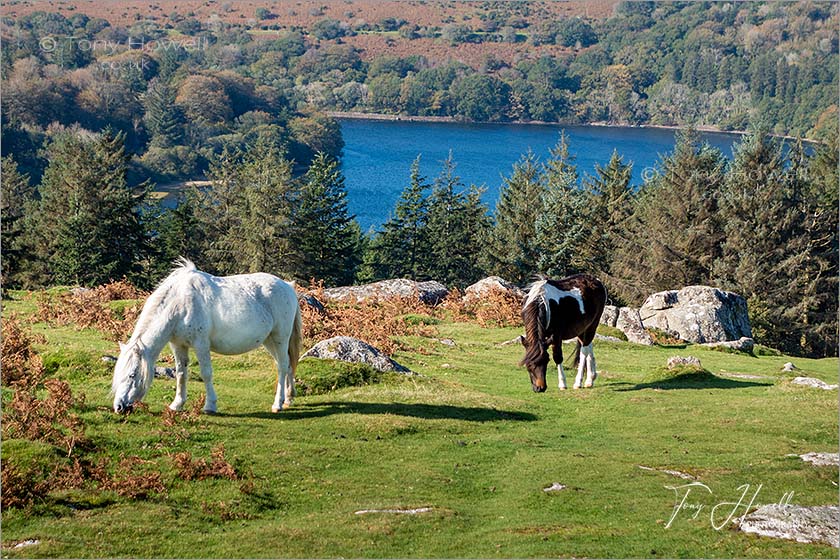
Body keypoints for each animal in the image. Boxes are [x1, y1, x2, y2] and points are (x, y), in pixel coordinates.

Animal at [111, 260, 302, 414]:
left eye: (132, 375)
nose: (118, 407)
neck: (179, 304)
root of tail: (287, 286)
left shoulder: (201, 344)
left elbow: (206, 373)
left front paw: (210, 405)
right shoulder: (178, 345)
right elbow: (181, 373)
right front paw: (177, 404)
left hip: (280, 337)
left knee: (282, 366)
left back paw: (277, 404)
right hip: (269, 341)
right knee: (286, 365)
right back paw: (288, 399)